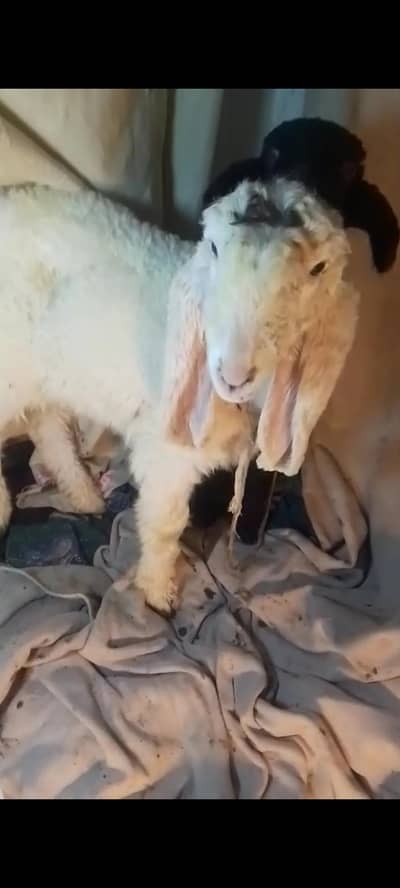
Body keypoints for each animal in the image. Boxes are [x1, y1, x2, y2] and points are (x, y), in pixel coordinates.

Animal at [0, 177, 358, 612]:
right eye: (214, 248)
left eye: (318, 269)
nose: (233, 373)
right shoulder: (166, 452)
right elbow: (165, 524)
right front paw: (157, 594)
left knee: (46, 424)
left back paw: (84, 496)